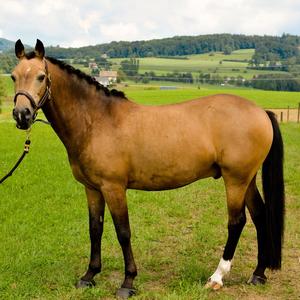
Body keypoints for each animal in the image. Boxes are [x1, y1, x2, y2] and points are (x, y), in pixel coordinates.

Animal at [10, 39, 284, 298]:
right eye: (13, 75)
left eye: (41, 76)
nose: (22, 115)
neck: (97, 120)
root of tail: (261, 111)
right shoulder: (92, 189)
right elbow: (95, 229)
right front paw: (89, 276)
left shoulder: (114, 188)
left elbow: (123, 232)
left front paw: (127, 282)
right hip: (247, 179)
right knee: (260, 216)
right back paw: (258, 274)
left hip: (235, 179)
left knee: (237, 222)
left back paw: (217, 277)